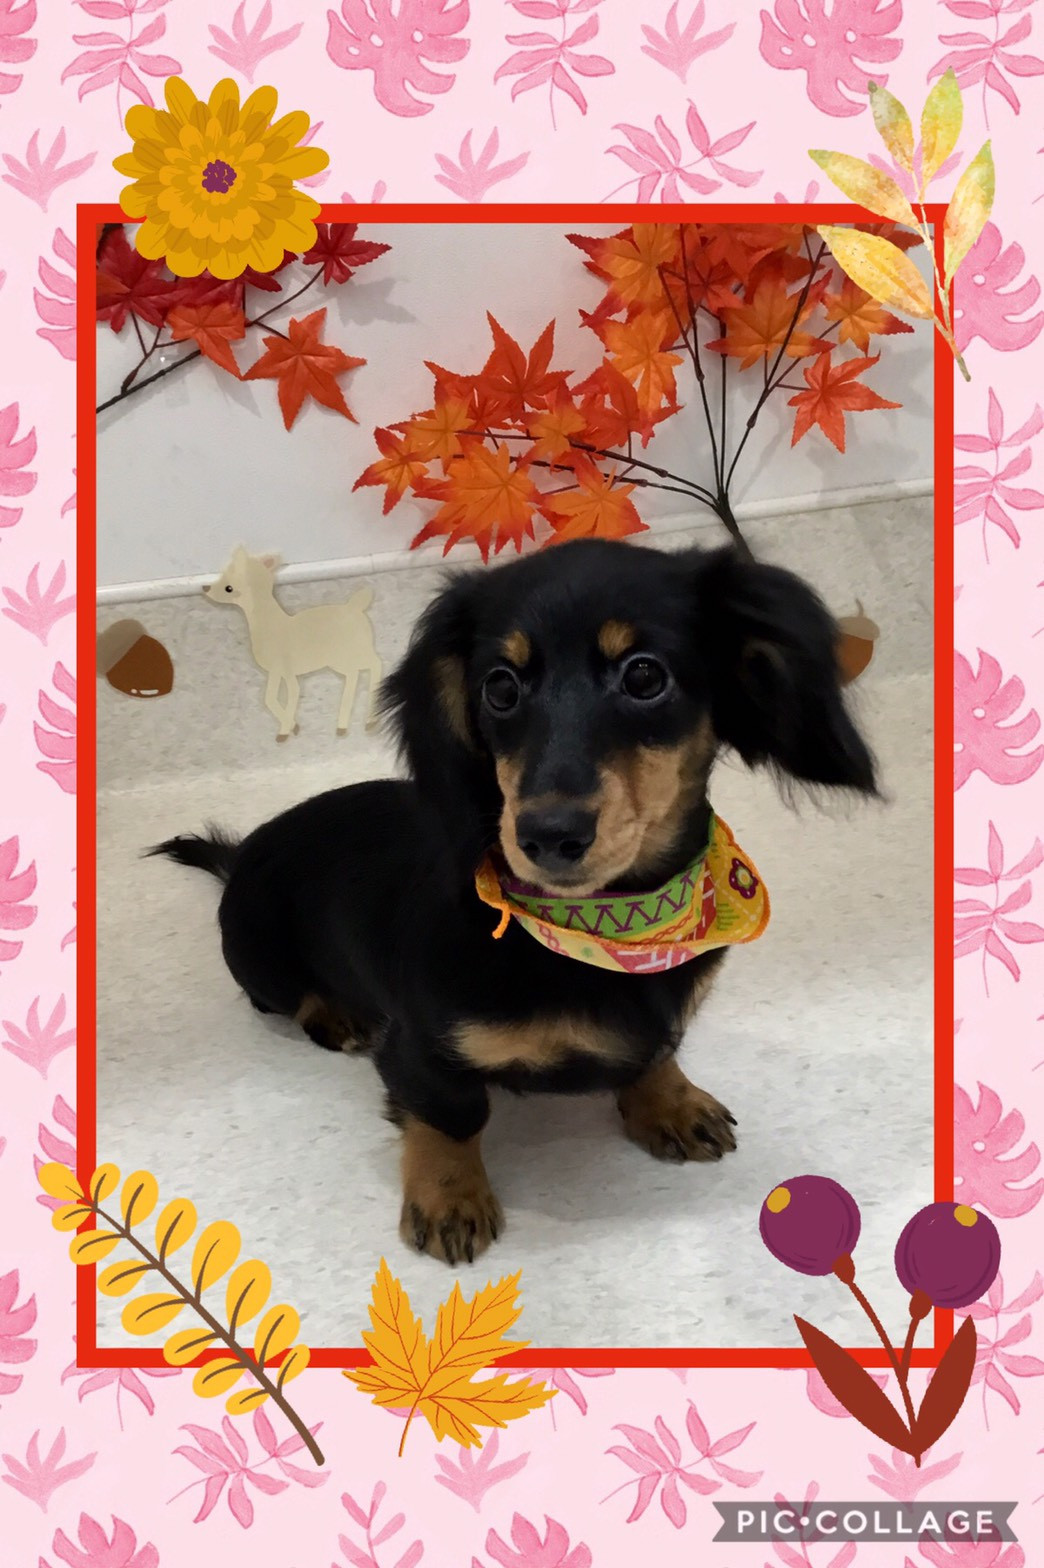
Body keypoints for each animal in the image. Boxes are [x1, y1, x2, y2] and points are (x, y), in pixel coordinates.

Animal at [151, 538, 877, 1265]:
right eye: (500, 687)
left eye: (645, 676)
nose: (548, 834)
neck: (603, 934)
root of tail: (239, 856)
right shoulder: (424, 1050)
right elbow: (450, 1118)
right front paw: (450, 1198)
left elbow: (657, 1050)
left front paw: (671, 1102)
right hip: (261, 962)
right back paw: (336, 1014)